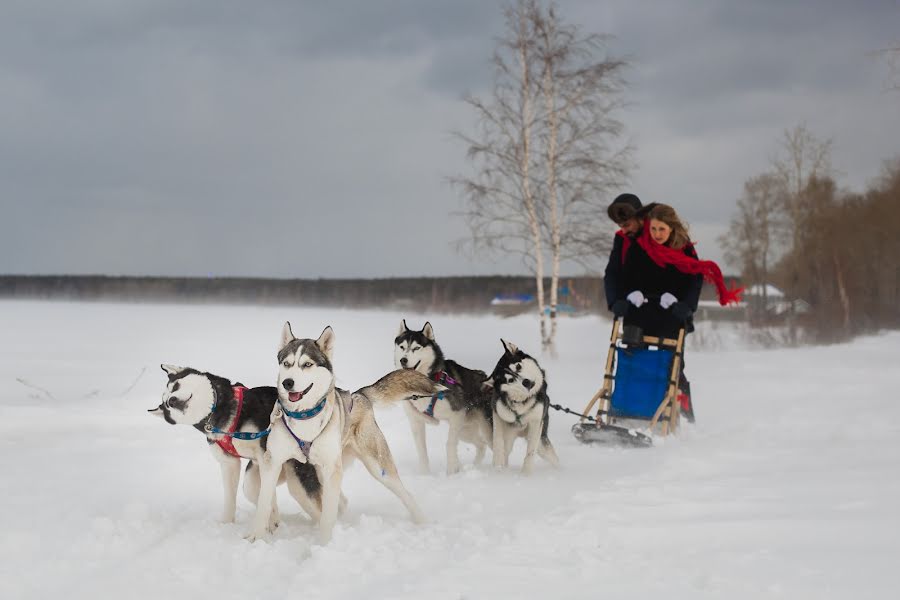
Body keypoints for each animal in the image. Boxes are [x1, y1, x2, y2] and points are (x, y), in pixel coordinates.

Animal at [149, 364, 326, 528]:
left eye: (176, 386)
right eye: (166, 405)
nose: (171, 401)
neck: (216, 415)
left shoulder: (265, 456)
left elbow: (266, 493)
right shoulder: (229, 463)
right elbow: (233, 497)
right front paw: (227, 525)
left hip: (300, 482)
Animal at [248, 324, 442, 544]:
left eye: (307, 364)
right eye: (287, 363)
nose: (288, 383)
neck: (304, 417)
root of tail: (360, 395)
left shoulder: (331, 469)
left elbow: (327, 515)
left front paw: (324, 545)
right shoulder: (272, 463)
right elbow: (263, 504)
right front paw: (256, 537)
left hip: (377, 466)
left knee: (404, 493)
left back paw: (422, 520)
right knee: (339, 501)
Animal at [394, 322, 492, 476]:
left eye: (416, 348)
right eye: (402, 347)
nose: (403, 360)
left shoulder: (457, 414)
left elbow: (450, 443)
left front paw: (451, 471)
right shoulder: (416, 421)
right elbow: (421, 450)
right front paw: (424, 475)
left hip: (486, 429)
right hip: (465, 431)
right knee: (481, 445)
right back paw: (474, 467)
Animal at [488, 340, 560, 476]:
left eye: (518, 366)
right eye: (510, 380)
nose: (527, 382)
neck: (522, 403)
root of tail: (520, 433)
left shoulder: (536, 423)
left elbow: (530, 452)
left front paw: (526, 475)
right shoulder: (498, 414)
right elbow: (498, 443)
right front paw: (498, 468)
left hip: (542, 444)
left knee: (553, 457)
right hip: (510, 438)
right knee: (505, 451)